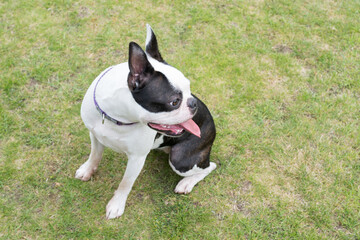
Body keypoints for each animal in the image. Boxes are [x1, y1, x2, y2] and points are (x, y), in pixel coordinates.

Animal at [76, 24, 217, 219]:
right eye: (175, 101)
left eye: (189, 88)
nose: (193, 103)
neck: (117, 118)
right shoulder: (95, 135)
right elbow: (94, 156)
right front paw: (87, 170)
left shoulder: (136, 158)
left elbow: (125, 183)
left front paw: (116, 205)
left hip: (181, 160)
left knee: (210, 166)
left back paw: (187, 183)